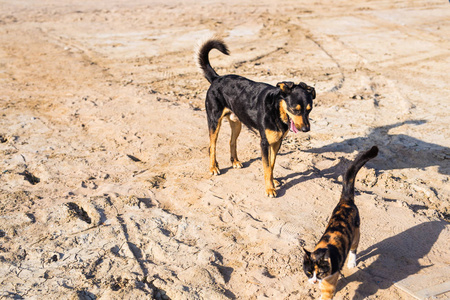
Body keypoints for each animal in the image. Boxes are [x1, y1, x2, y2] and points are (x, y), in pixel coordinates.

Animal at [199, 38, 314, 198]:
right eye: (294, 109)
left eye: (309, 109)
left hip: (237, 123)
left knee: (231, 141)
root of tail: (217, 78)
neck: (277, 110)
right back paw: (213, 167)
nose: (306, 129)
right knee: (212, 146)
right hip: (214, 122)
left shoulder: (277, 142)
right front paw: (269, 188)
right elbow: (266, 166)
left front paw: (273, 181)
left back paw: (235, 161)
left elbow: (271, 164)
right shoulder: (264, 143)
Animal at [302, 146, 380, 298]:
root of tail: (346, 200)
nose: (314, 281)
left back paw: (352, 263)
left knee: (354, 247)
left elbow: (326, 294)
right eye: (309, 272)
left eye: (320, 273)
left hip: (356, 232)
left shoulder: (330, 283)